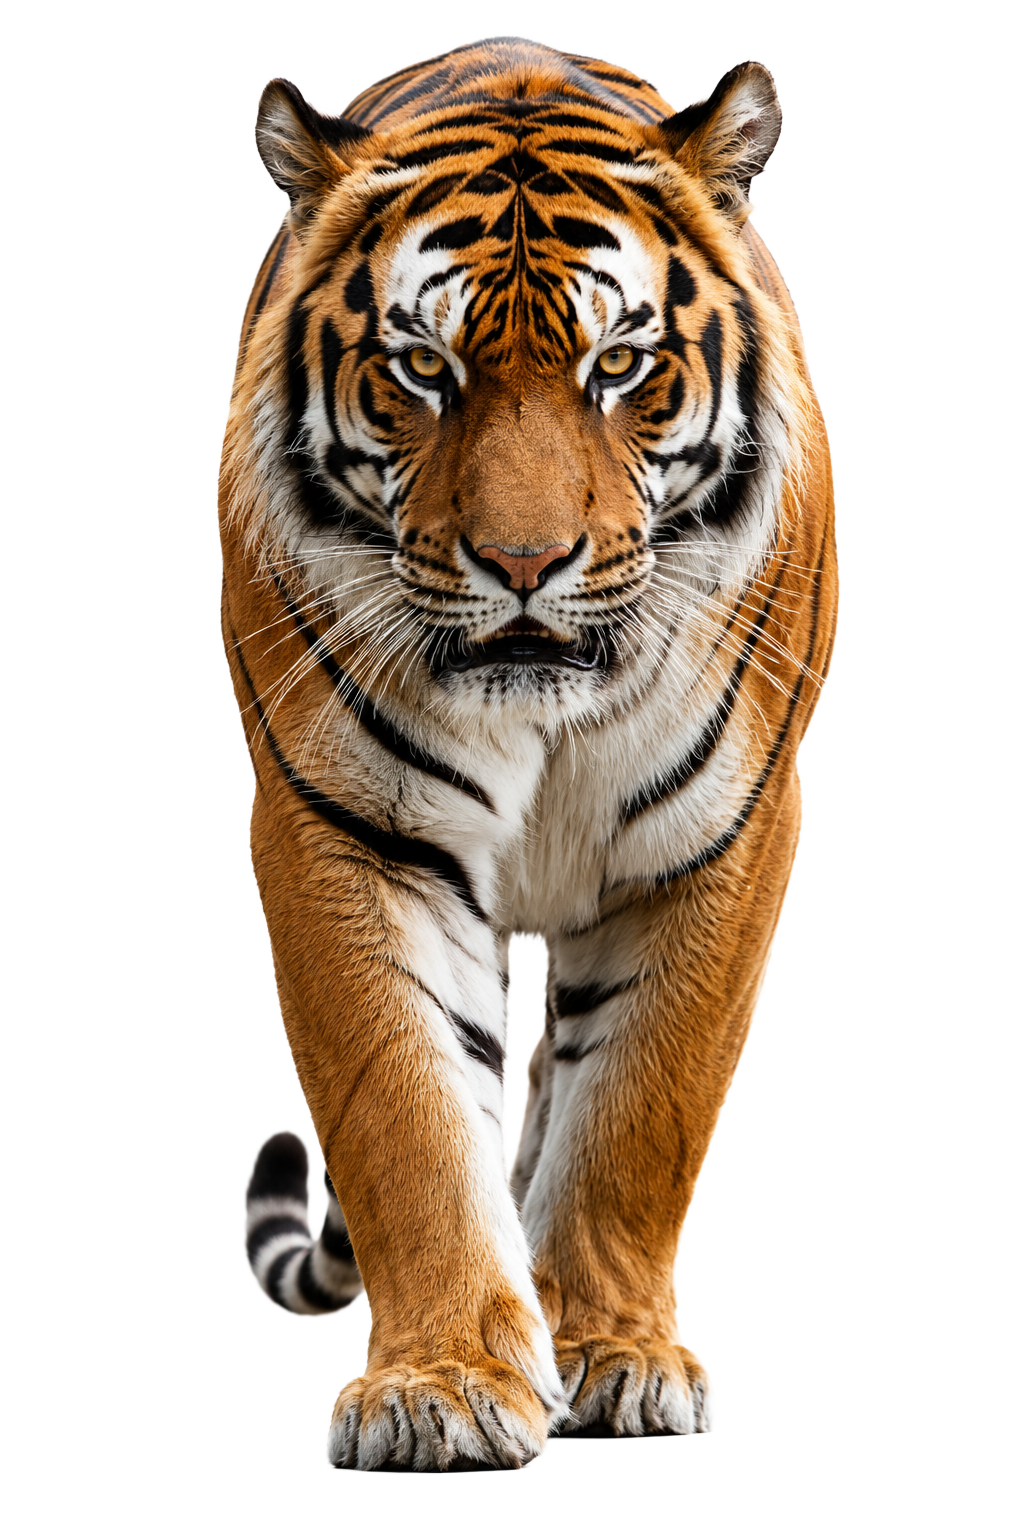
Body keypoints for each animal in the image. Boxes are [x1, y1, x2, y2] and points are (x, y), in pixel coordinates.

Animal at [220, 36, 838, 1472]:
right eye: (421, 368)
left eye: (618, 364)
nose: (522, 563)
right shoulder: (345, 832)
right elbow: (404, 1113)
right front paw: (442, 1385)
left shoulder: (723, 838)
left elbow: (641, 1115)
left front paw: (614, 1353)